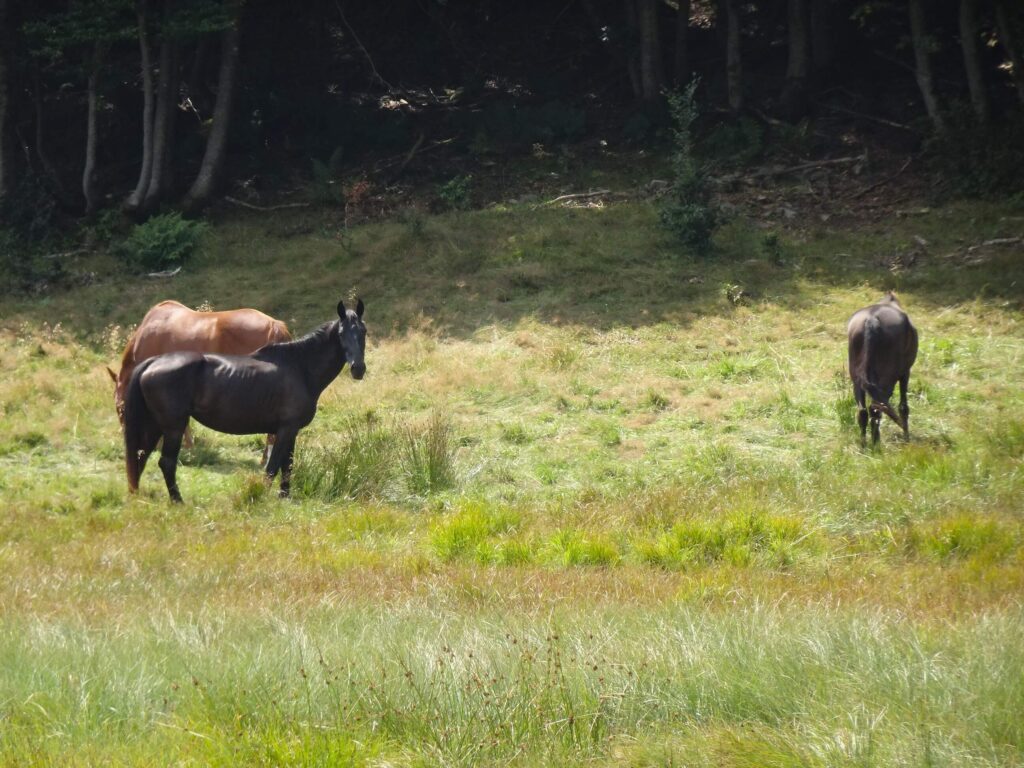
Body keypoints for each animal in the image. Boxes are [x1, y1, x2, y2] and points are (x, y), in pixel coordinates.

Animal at [124, 301, 366, 505]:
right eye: (342, 333)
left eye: (363, 331)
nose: (358, 369)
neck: (299, 368)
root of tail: (153, 362)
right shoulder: (286, 429)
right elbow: (273, 467)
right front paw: (261, 497)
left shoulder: (291, 431)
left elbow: (287, 466)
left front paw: (284, 498)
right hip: (173, 427)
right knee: (166, 462)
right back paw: (178, 501)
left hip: (155, 426)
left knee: (141, 457)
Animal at [847, 290, 921, 444]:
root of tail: (872, 320)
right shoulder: (905, 373)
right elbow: (903, 407)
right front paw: (906, 437)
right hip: (888, 379)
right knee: (877, 408)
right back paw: (876, 443)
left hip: (857, 380)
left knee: (863, 411)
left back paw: (865, 444)